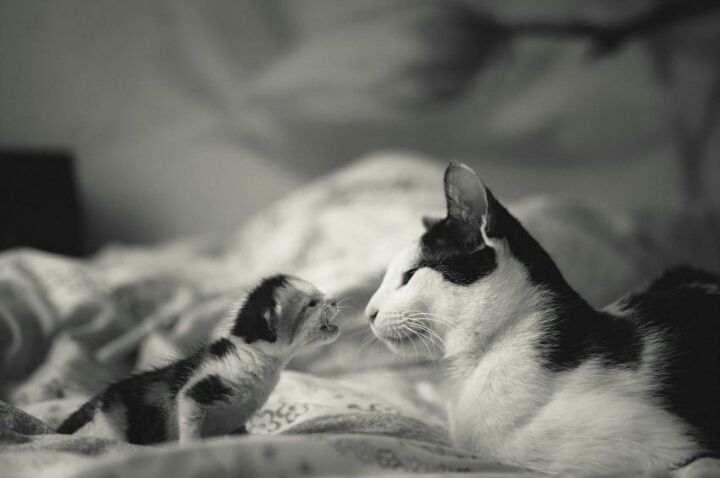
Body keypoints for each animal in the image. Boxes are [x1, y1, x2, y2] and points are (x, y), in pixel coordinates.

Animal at [57, 274, 340, 445]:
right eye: (312, 304)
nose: (335, 300)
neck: (255, 354)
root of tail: (98, 402)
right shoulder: (200, 388)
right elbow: (190, 420)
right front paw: (190, 446)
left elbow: (240, 430)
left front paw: (252, 438)